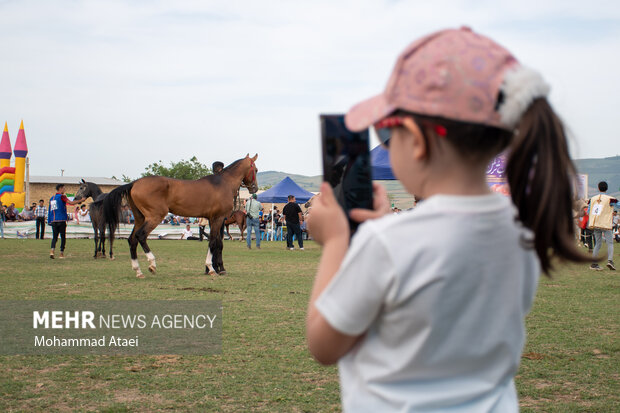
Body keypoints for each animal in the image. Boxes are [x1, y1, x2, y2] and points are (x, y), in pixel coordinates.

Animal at [100, 154, 260, 276]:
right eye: (256, 169)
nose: (254, 188)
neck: (223, 183)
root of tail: (134, 183)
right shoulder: (217, 219)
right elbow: (213, 242)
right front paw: (211, 268)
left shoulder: (214, 220)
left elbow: (217, 242)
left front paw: (218, 268)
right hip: (154, 217)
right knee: (141, 236)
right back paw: (152, 264)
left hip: (140, 218)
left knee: (132, 239)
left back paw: (138, 271)